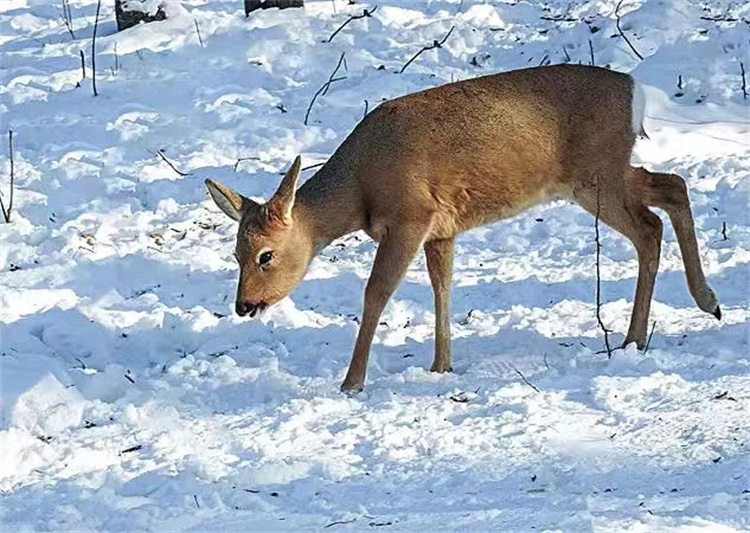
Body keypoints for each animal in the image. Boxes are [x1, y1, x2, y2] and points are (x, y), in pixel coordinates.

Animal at [206, 64, 724, 392]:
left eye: (266, 255)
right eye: (234, 253)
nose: (244, 304)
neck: (361, 190)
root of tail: (634, 90)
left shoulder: (411, 216)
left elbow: (376, 294)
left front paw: (352, 382)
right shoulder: (441, 228)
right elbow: (443, 286)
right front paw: (442, 365)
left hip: (596, 176)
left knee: (649, 225)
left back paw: (642, 334)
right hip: (608, 172)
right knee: (672, 186)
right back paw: (702, 304)